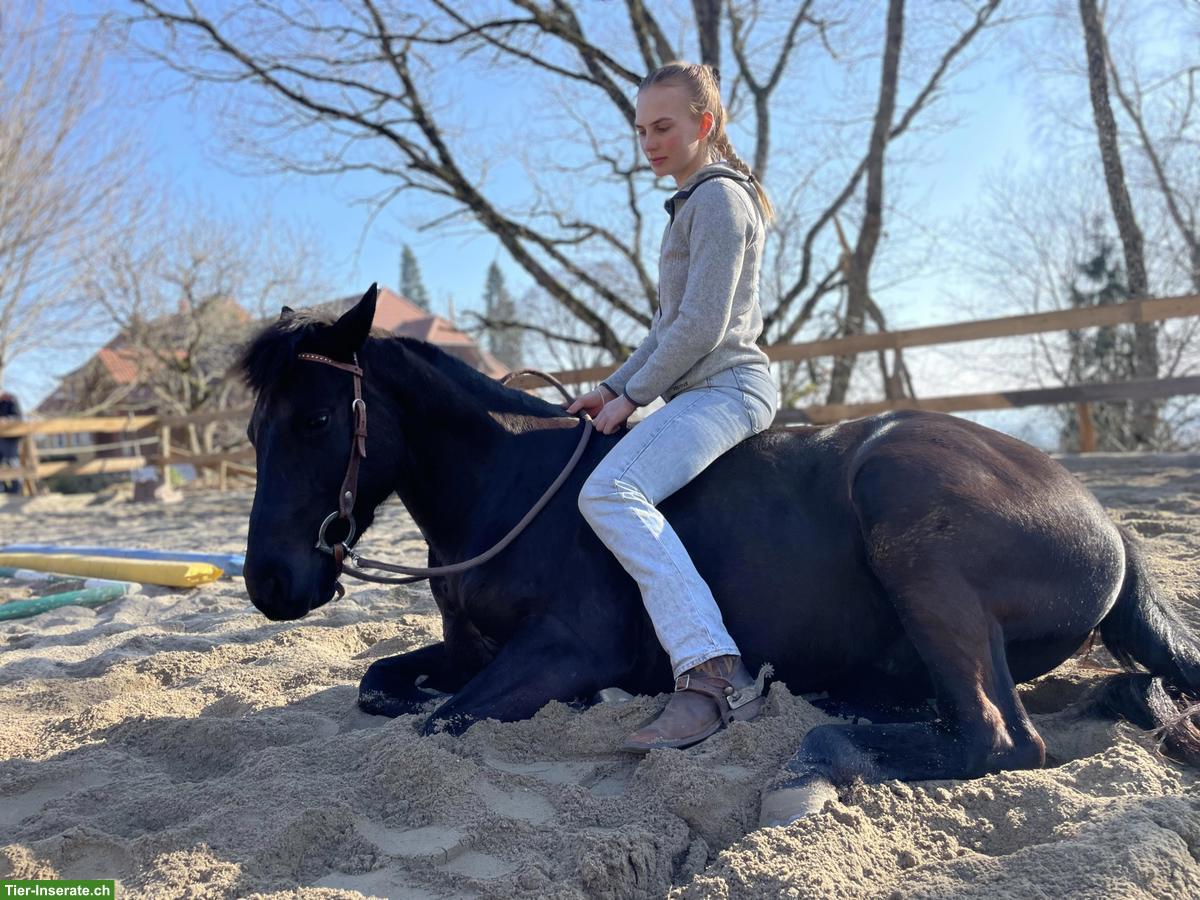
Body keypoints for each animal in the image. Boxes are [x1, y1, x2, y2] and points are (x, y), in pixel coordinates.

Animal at [240, 284, 1200, 826]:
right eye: (252, 431)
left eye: (318, 419)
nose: (270, 584)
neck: (510, 491)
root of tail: (1104, 520)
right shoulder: (471, 648)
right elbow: (380, 686)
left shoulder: (566, 652)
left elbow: (442, 721)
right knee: (1102, 697)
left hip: (910, 521)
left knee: (999, 738)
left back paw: (813, 764)